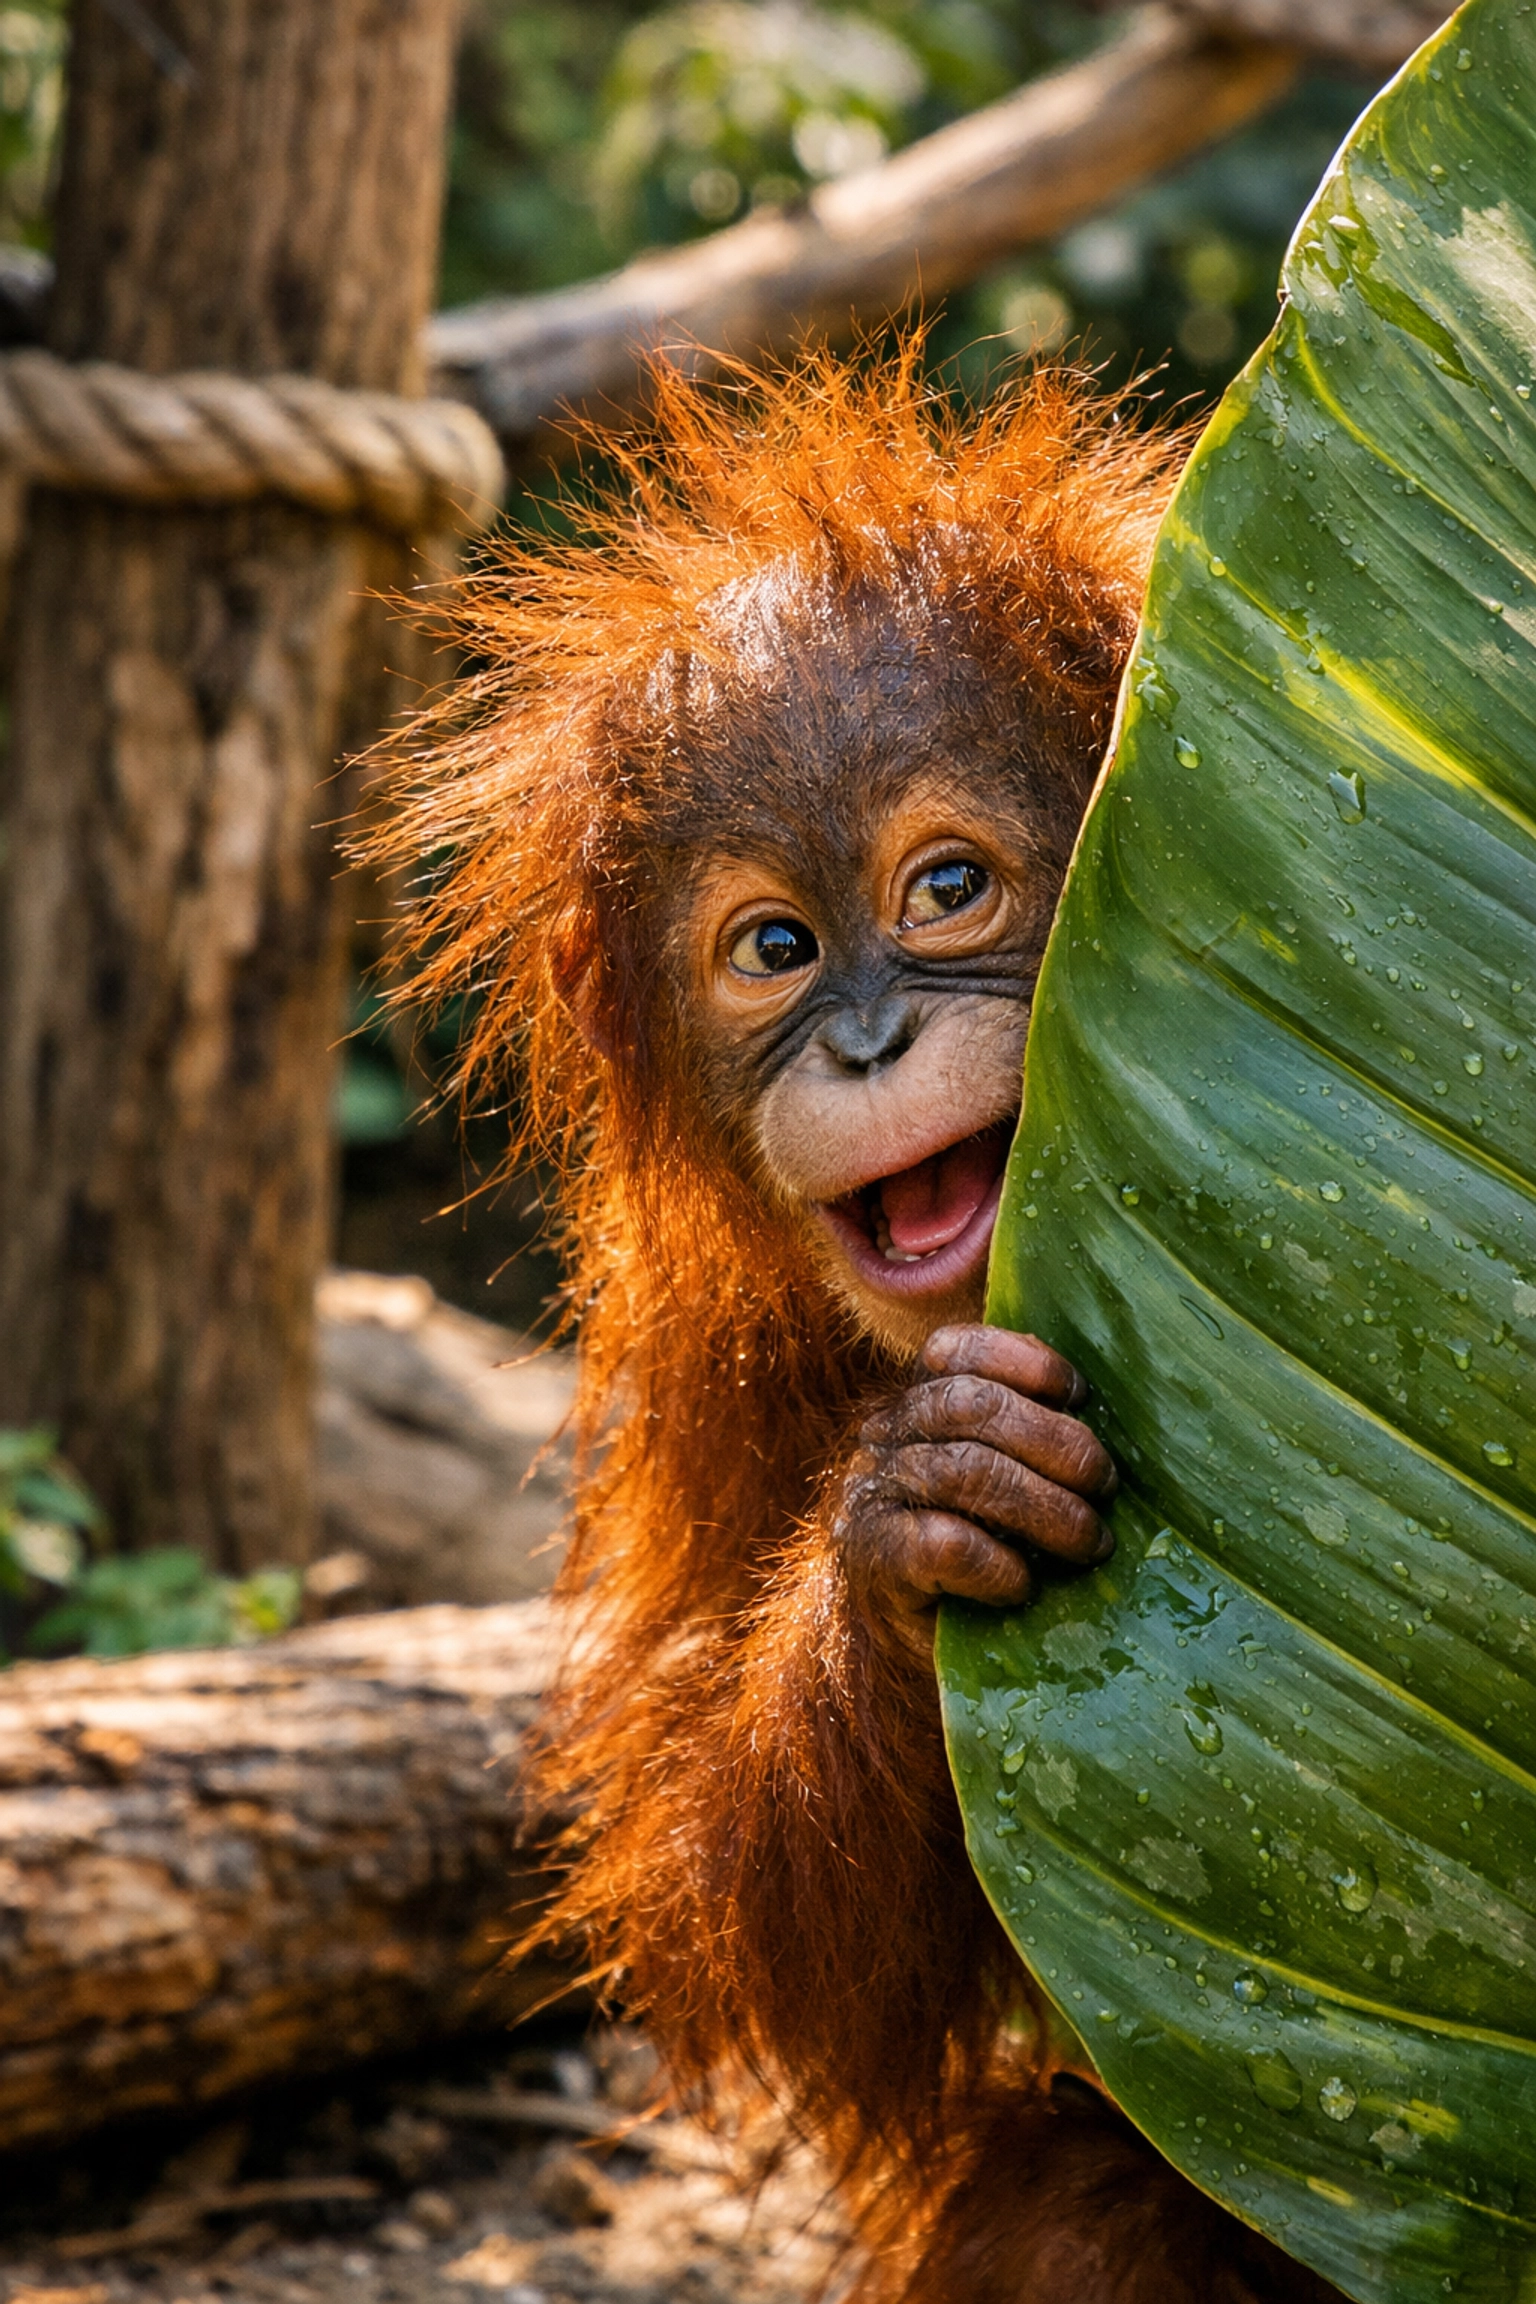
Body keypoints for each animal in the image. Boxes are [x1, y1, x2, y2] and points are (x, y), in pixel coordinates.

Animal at [374, 345, 1343, 2304]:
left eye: (945, 889)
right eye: (773, 945)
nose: (870, 1040)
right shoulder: (706, 1345)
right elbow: (770, 1959)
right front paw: (917, 1522)